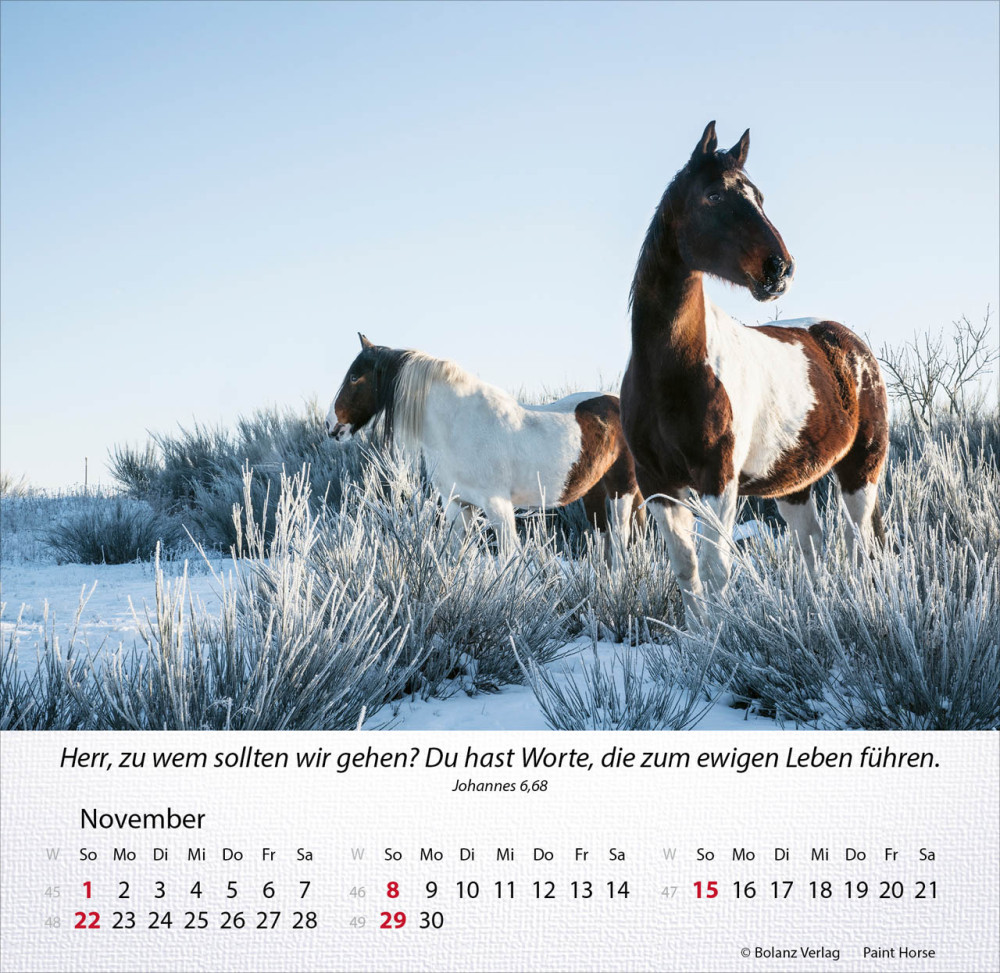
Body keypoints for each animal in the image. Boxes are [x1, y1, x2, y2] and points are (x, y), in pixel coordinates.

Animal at [327, 334, 645, 552]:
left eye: (354, 377)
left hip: (622, 490)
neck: (458, 425)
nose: (331, 425)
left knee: (620, 541)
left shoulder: (498, 507)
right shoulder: (457, 506)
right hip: (593, 491)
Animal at [620, 121, 889, 620]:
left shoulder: (718, 480)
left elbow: (716, 570)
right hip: (795, 484)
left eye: (758, 197)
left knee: (859, 543)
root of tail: (850, 344)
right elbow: (687, 571)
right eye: (712, 196)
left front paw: (720, 637)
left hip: (861, 471)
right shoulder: (658, 485)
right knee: (812, 543)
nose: (779, 269)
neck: (670, 371)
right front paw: (697, 637)